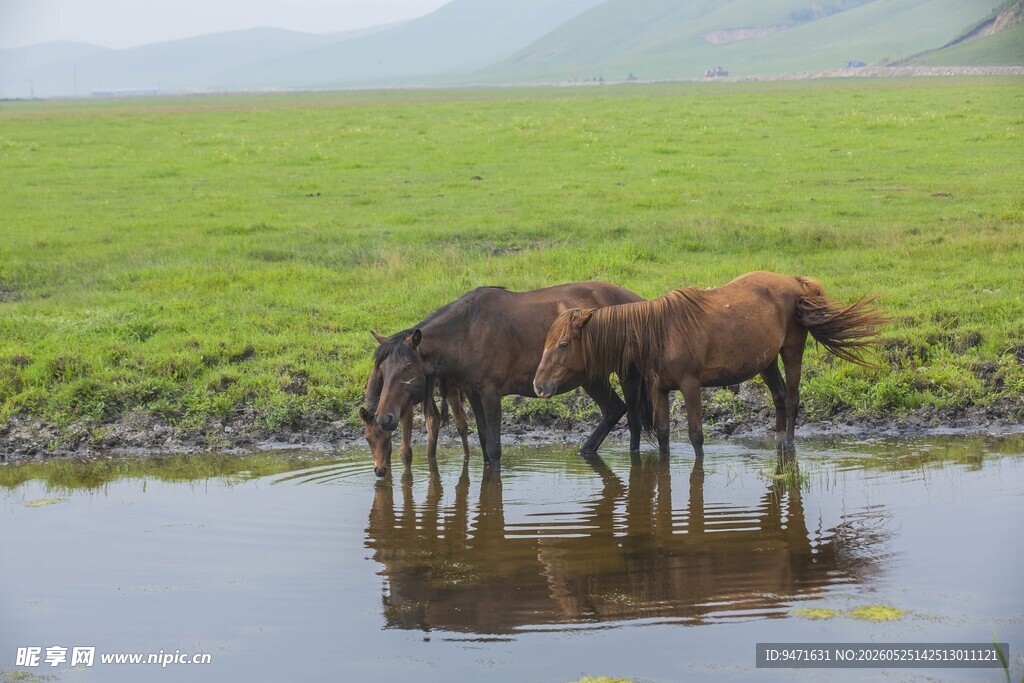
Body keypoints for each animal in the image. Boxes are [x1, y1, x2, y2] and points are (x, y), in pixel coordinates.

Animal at [370, 282, 648, 467]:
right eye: (382, 370)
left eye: (406, 368)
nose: (384, 418)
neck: (466, 332)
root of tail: (638, 300)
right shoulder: (473, 393)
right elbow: (484, 441)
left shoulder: (491, 393)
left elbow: (494, 448)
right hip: (591, 377)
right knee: (614, 410)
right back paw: (587, 450)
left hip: (626, 374)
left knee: (633, 421)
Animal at [533, 271, 888, 459]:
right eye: (546, 342)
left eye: (563, 345)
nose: (539, 385)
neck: (658, 332)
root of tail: (795, 283)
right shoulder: (659, 389)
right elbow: (664, 434)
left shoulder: (691, 386)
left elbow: (696, 435)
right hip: (766, 361)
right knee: (780, 397)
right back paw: (776, 440)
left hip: (791, 350)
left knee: (794, 399)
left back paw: (787, 444)